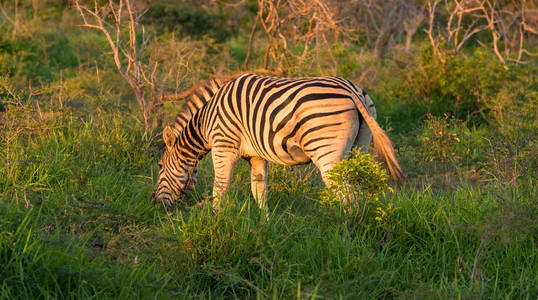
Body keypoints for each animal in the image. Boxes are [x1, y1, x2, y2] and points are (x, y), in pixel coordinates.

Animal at [153, 73, 400, 212]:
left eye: (160, 166)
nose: (154, 203)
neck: (206, 121)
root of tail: (352, 90)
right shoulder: (256, 155)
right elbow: (259, 191)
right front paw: (265, 225)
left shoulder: (224, 146)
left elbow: (220, 189)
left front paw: (215, 223)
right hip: (360, 148)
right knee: (359, 191)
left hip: (327, 152)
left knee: (348, 196)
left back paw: (345, 233)